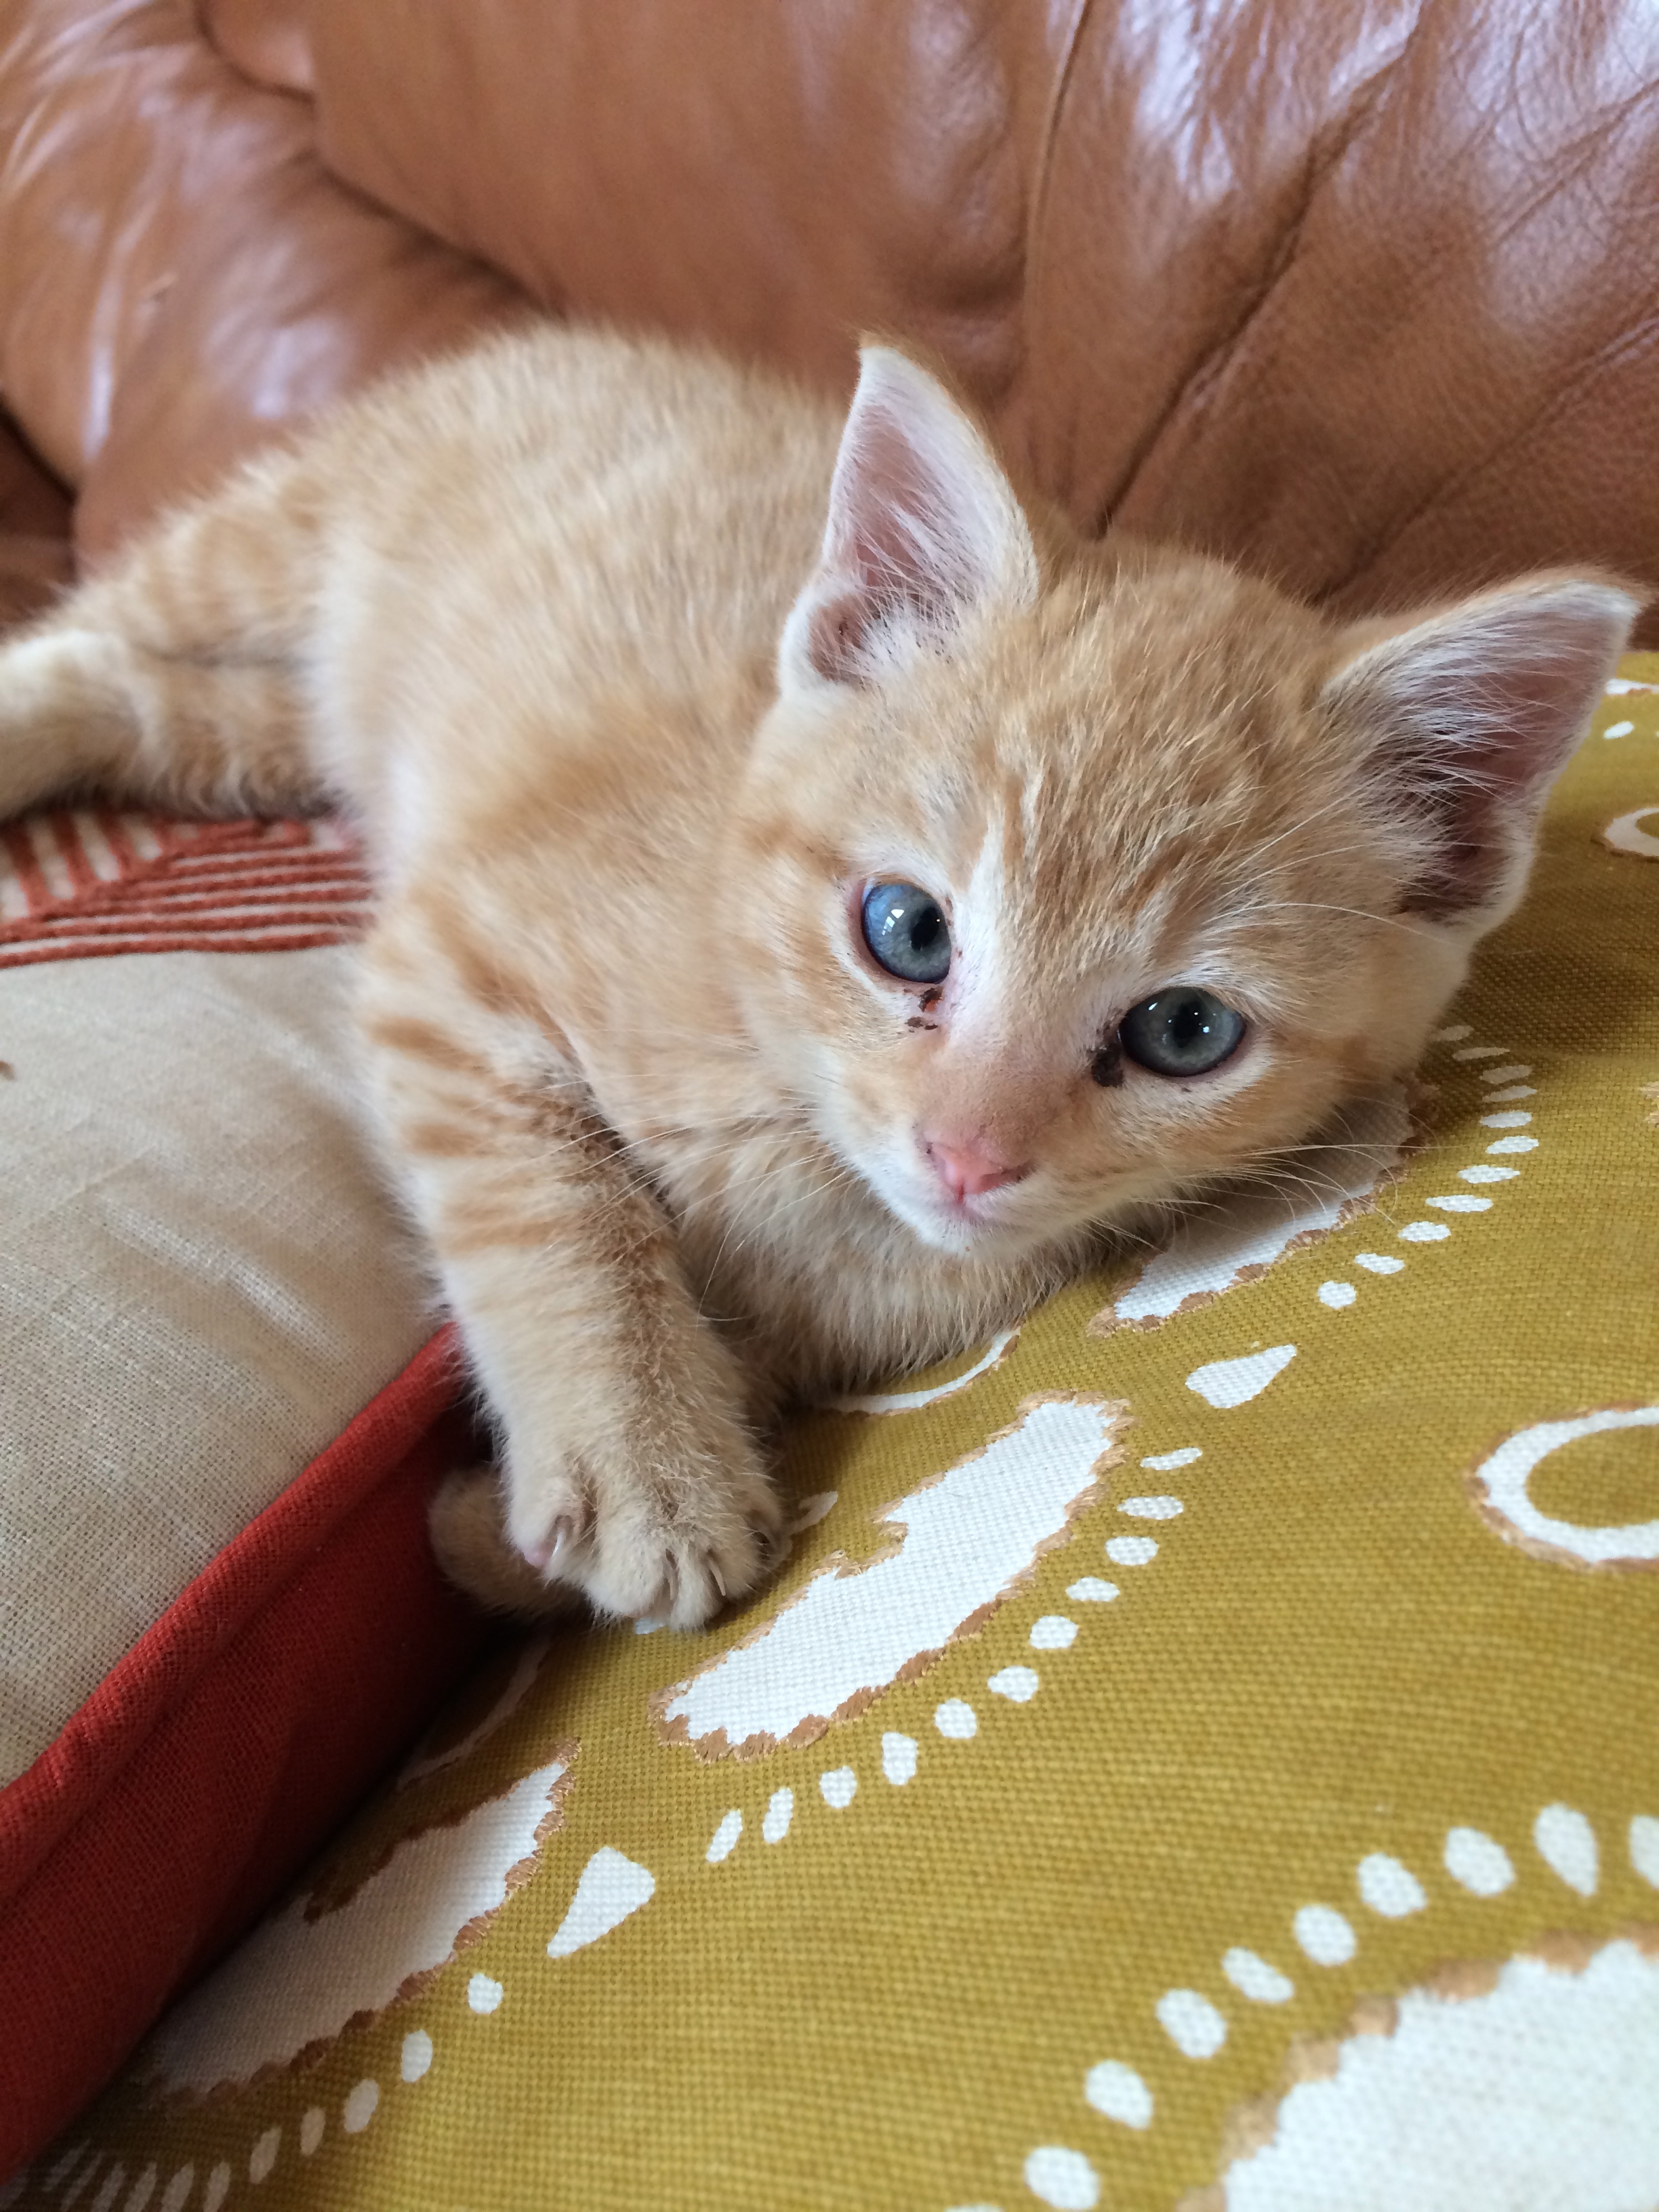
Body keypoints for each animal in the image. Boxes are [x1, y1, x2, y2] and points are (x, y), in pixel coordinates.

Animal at [0, 324, 1639, 1628]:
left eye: (1183, 1030)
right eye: (906, 930)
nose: (967, 1155)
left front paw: (492, 1538)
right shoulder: (453, 958)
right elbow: (554, 1200)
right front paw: (642, 1469)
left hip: (288, 721)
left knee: (167, 709)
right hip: (281, 542)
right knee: (100, 630)